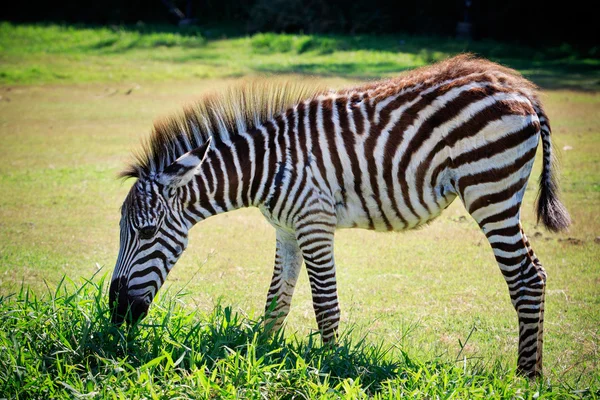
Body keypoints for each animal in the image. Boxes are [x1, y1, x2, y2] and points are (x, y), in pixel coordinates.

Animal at [110, 54, 568, 376]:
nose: (115, 312)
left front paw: (331, 367)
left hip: (490, 191)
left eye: (147, 233)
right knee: (534, 275)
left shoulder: (314, 222)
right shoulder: (286, 230)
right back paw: (532, 373)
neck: (267, 166)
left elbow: (325, 305)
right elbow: (276, 301)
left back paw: (526, 377)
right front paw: (259, 357)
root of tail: (520, 89)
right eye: (122, 232)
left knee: (528, 278)